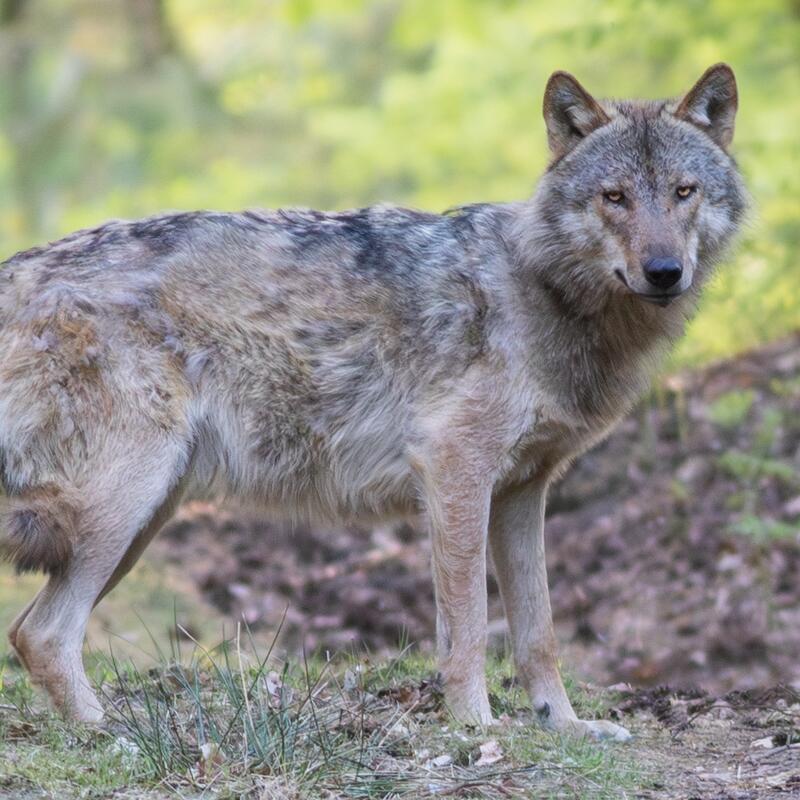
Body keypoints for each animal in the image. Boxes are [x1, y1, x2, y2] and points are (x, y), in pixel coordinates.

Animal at [0, 64, 745, 738]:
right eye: (614, 197)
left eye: (683, 192)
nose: (664, 272)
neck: (543, 294)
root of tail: (15, 270)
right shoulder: (454, 471)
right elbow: (469, 626)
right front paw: (476, 727)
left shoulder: (522, 493)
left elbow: (539, 632)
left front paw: (563, 726)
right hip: (126, 506)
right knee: (44, 633)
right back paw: (115, 739)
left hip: (146, 515)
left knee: (31, 630)